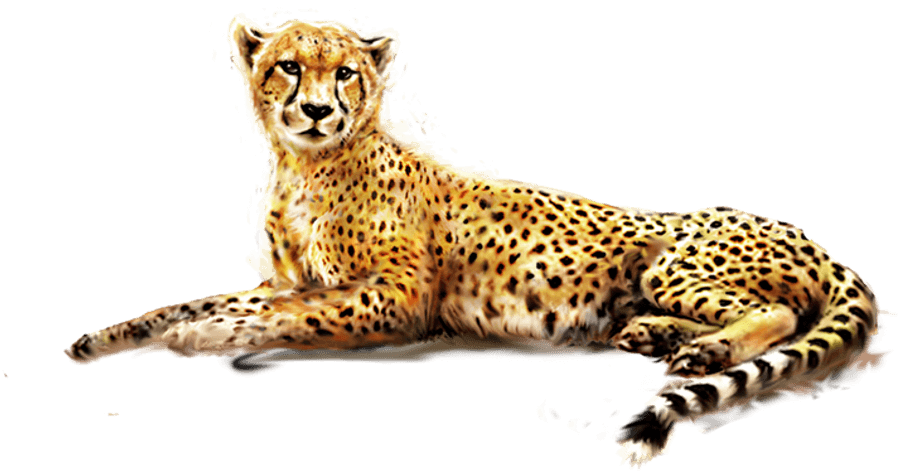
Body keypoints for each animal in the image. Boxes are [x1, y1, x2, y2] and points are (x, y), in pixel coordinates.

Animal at [64, 13, 884, 469]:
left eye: (348, 73)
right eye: (288, 67)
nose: (319, 110)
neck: (307, 167)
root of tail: (812, 237)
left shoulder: (393, 300)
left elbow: (274, 316)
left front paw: (203, 341)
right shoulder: (287, 279)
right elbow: (200, 301)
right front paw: (106, 339)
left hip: (673, 262)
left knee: (779, 313)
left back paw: (701, 349)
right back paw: (659, 336)